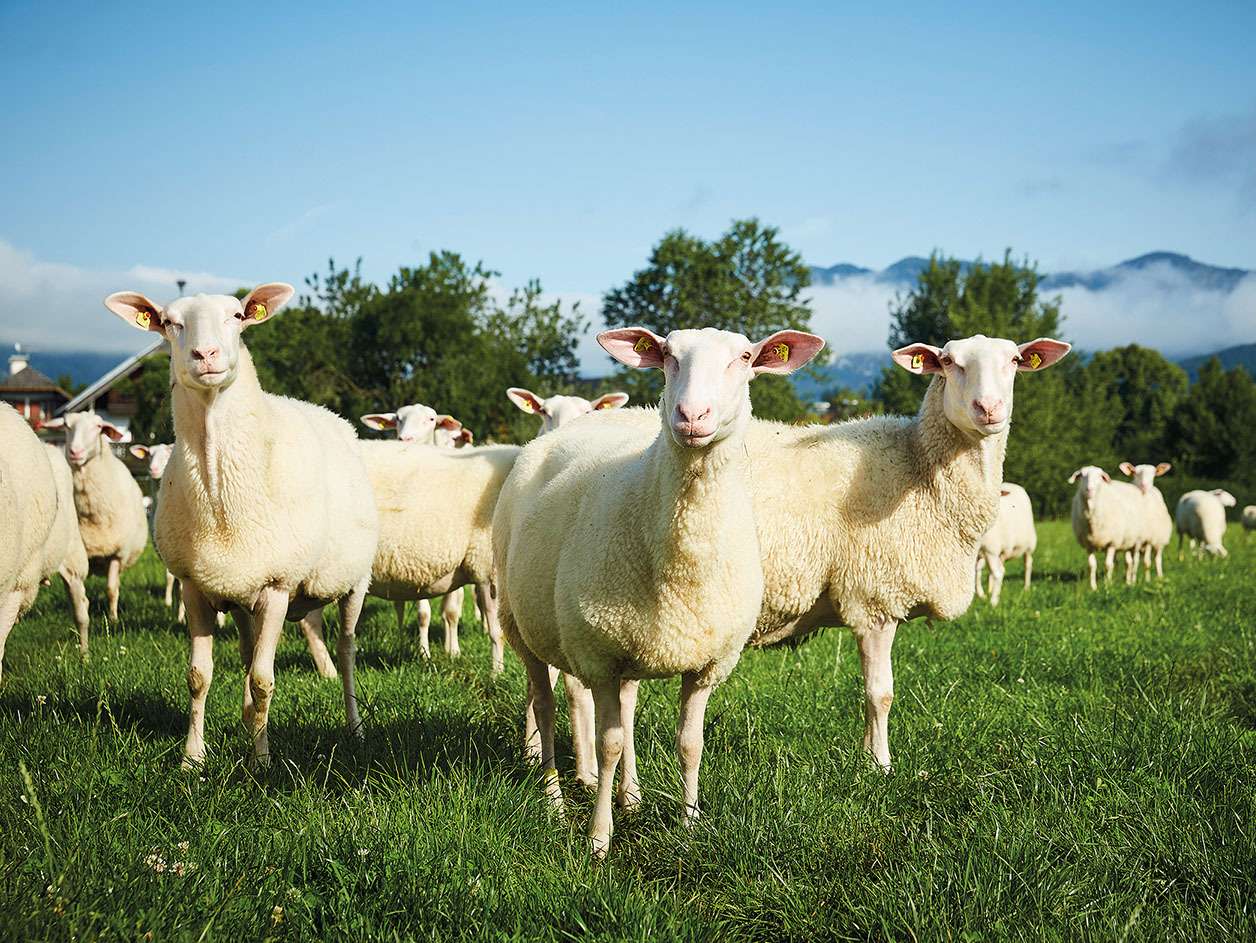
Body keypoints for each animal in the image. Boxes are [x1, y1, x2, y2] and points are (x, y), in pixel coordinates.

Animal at [40, 413, 149, 620]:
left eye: (98, 427)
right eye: (66, 425)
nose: (75, 452)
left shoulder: (117, 553)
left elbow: (111, 589)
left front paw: (113, 619)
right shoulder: (79, 554)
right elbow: (77, 592)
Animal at [103, 283, 379, 767]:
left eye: (236, 315)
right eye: (169, 322)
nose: (205, 354)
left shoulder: (277, 586)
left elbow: (265, 680)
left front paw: (261, 760)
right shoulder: (195, 584)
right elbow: (199, 675)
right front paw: (192, 758)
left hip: (353, 581)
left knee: (345, 650)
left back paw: (354, 726)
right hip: (241, 591)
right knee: (250, 654)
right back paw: (248, 720)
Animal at [494, 326, 824, 856]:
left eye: (745, 356)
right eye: (668, 355)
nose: (691, 416)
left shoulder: (707, 662)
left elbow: (690, 743)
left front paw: (688, 823)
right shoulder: (599, 656)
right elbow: (606, 744)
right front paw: (599, 839)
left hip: (629, 640)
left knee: (626, 711)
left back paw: (630, 796)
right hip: (521, 623)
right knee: (544, 704)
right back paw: (553, 800)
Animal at [558, 333, 1071, 795]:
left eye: (1014, 361)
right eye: (948, 363)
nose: (989, 409)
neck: (916, 466)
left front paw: (868, 759)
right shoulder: (875, 597)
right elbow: (880, 692)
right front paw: (881, 766)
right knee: (573, 687)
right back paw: (579, 777)